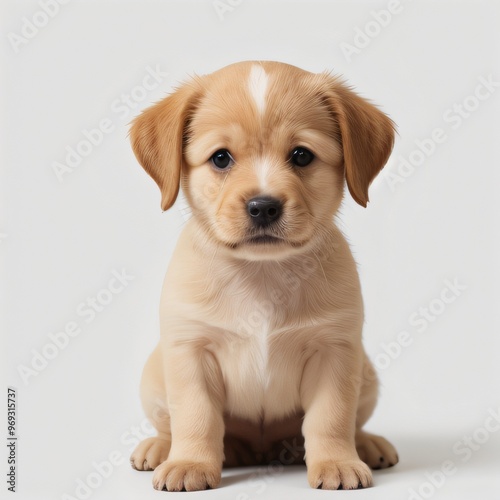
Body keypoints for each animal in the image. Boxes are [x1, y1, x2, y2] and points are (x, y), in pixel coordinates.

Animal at [129, 60, 398, 490]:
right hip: (154, 375)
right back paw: (160, 448)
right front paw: (189, 463)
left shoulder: (334, 352)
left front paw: (336, 462)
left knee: (352, 423)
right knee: (170, 425)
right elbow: (196, 416)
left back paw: (366, 444)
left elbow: (331, 418)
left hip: (367, 374)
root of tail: (260, 449)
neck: (262, 274)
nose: (263, 207)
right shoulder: (191, 352)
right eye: (221, 158)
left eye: (302, 156)